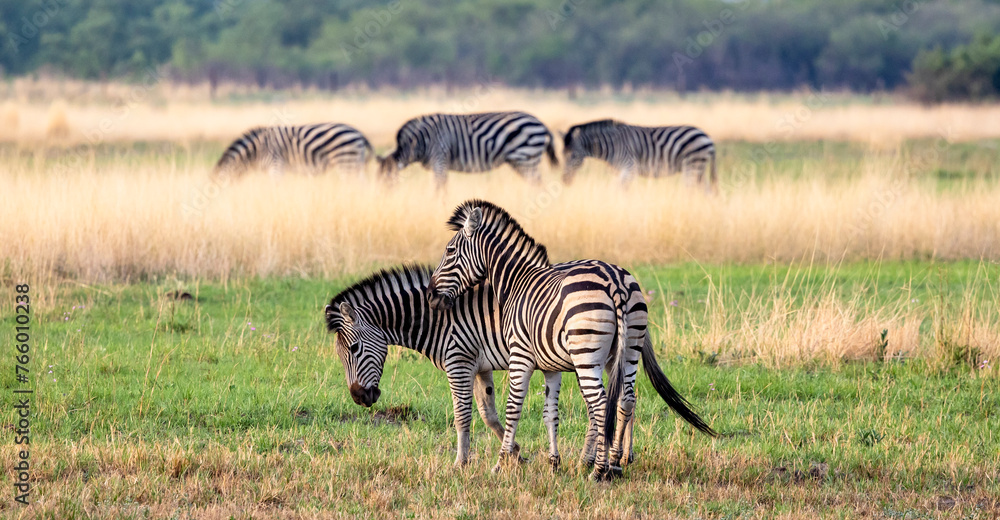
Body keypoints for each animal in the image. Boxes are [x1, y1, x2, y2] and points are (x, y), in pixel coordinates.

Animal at [324, 263, 649, 468]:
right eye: (340, 356)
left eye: (354, 349)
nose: (359, 397)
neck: (438, 319)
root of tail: (619, 281)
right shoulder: (479, 366)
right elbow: (488, 413)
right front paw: (516, 453)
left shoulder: (459, 362)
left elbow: (463, 415)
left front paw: (461, 463)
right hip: (617, 354)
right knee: (625, 399)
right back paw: (621, 457)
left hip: (589, 355)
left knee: (605, 404)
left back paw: (597, 461)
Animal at [378, 112, 559, 188]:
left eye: (388, 180)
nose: (383, 200)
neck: (419, 141)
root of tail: (541, 123)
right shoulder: (441, 163)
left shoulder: (440, 157)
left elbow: (439, 187)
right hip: (520, 161)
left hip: (527, 158)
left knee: (538, 184)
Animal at [427, 200, 716, 480]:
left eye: (450, 250)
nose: (430, 295)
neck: (517, 282)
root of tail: (615, 282)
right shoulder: (550, 366)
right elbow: (549, 413)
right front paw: (553, 463)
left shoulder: (520, 355)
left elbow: (513, 408)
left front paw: (501, 464)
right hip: (628, 348)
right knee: (625, 399)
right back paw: (616, 464)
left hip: (586, 354)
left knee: (601, 405)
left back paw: (599, 470)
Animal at [562, 119, 717, 191]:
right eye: (562, 155)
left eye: (574, 155)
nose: (565, 181)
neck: (612, 145)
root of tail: (707, 136)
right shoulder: (619, 172)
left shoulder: (629, 168)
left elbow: (621, 190)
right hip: (700, 168)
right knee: (707, 191)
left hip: (692, 165)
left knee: (690, 190)